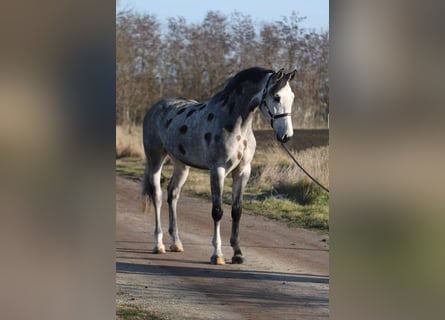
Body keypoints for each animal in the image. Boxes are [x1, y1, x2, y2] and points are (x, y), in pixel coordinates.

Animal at [141, 66, 294, 264]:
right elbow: (217, 211)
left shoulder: (243, 171)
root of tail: (156, 107)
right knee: (157, 196)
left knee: (173, 194)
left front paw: (238, 253)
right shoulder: (217, 170)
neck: (235, 125)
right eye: (276, 97)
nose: (287, 136)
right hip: (155, 159)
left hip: (181, 165)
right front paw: (217, 254)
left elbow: (237, 211)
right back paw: (158, 245)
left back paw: (176, 243)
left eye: (292, 97)